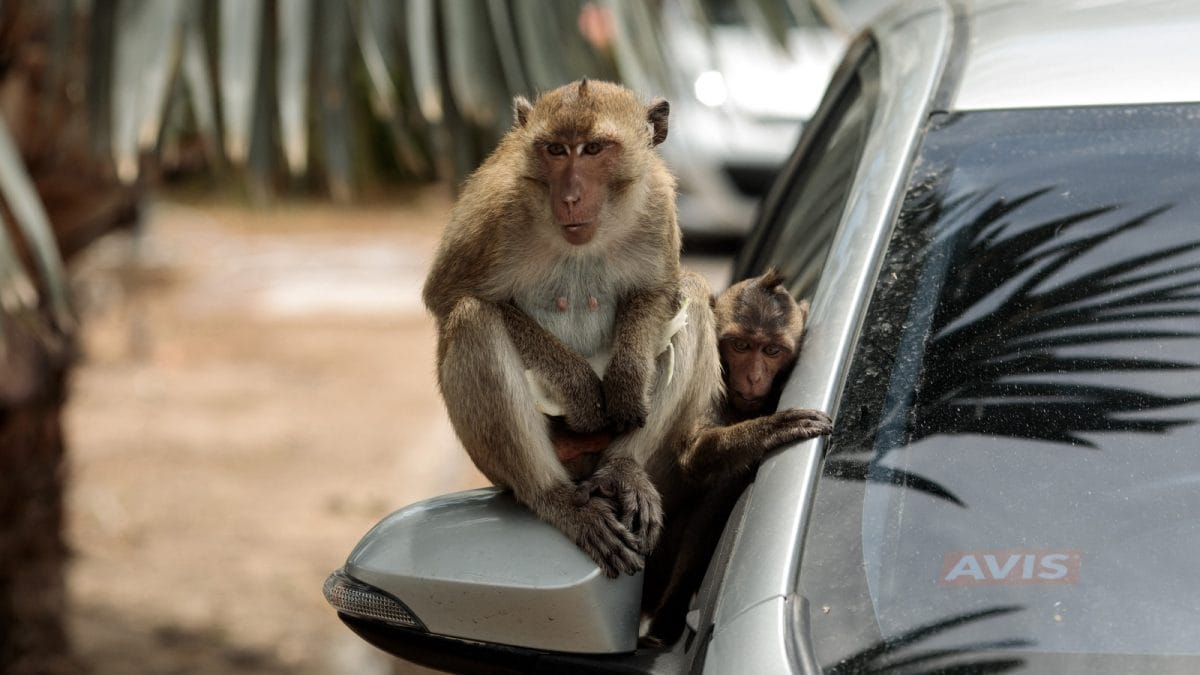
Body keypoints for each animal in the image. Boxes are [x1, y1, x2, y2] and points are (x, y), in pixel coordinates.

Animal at [422, 79, 724, 579]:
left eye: (595, 149)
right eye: (556, 150)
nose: (569, 197)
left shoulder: (657, 203)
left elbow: (658, 289)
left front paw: (626, 379)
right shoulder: (495, 212)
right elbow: (447, 296)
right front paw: (582, 390)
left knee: (695, 295)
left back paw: (623, 468)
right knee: (473, 320)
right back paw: (556, 498)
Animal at [639, 269, 833, 646]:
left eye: (772, 350)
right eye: (740, 346)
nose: (754, 377)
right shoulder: (711, 380)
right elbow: (695, 454)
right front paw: (773, 428)